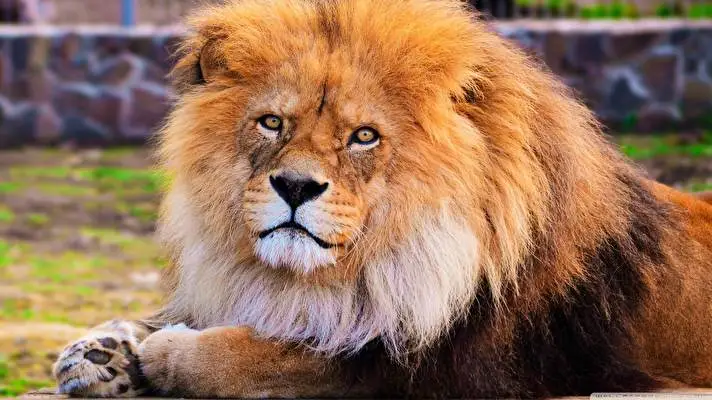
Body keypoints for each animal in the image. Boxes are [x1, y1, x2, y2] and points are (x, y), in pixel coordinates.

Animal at [52, 0, 712, 397]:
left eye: (363, 136)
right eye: (272, 123)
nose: (295, 186)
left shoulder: (430, 369)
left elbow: (259, 357)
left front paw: (164, 351)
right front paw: (101, 352)